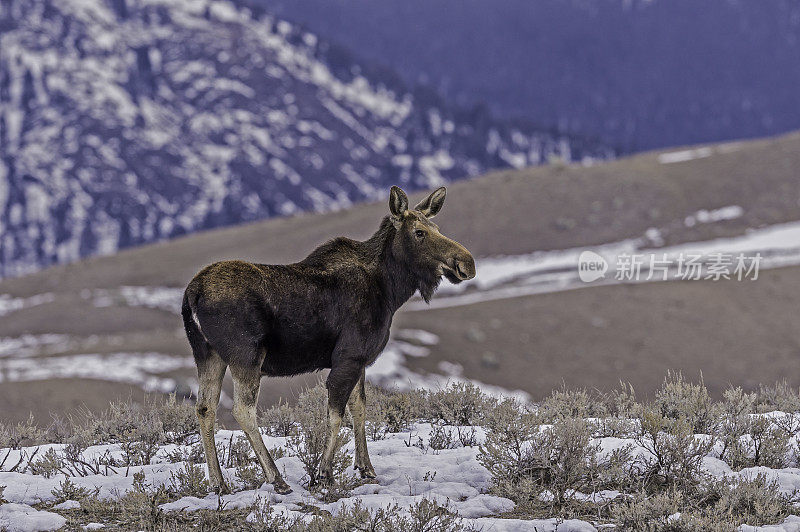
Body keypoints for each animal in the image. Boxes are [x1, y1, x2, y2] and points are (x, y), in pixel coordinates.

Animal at [183, 185, 476, 492]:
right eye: (419, 232)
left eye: (437, 228)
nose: (466, 263)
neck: (390, 290)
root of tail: (192, 293)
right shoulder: (348, 357)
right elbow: (336, 415)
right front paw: (324, 474)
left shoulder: (359, 359)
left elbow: (359, 408)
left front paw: (366, 468)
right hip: (246, 356)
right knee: (243, 410)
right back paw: (276, 478)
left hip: (207, 354)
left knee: (204, 408)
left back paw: (218, 483)